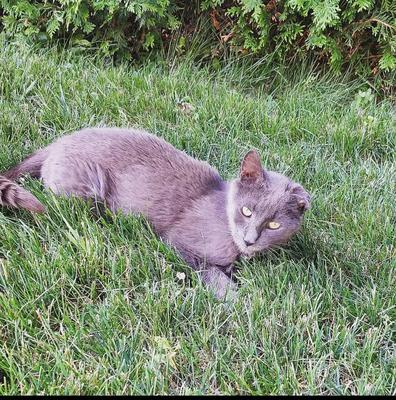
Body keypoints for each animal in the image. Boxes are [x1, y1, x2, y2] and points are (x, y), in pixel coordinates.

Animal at [1, 126, 310, 298]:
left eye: (273, 225)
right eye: (246, 211)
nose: (249, 240)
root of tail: (56, 144)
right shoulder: (180, 243)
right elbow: (210, 272)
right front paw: (237, 299)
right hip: (87, 188)